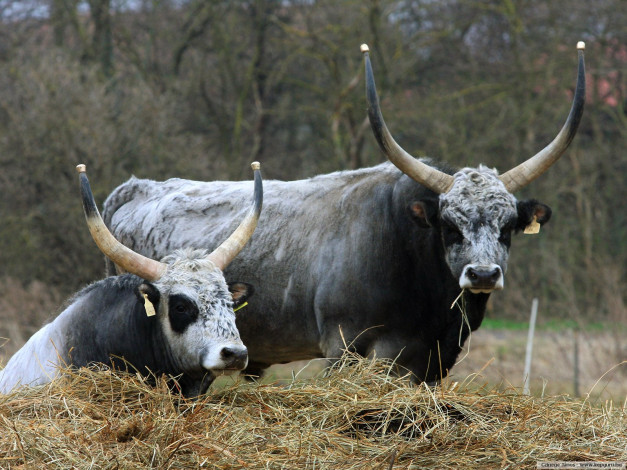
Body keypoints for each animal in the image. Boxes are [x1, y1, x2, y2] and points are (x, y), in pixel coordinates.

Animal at [100, 43, 588, 382]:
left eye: (508, 227)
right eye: (449, 226)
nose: (483, 274)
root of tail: (135, 188)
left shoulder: (433, 358)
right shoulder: (348, 347)